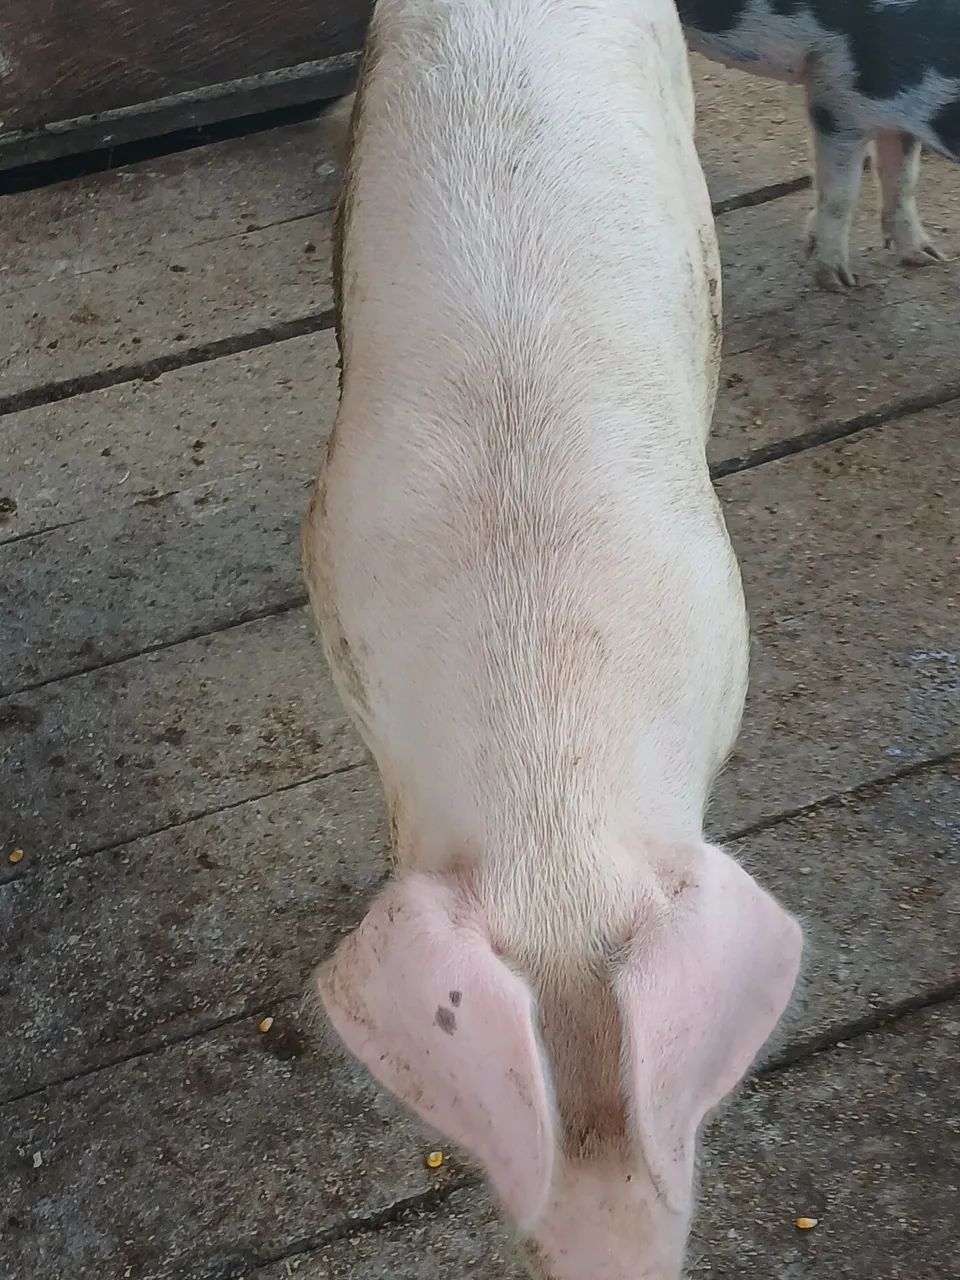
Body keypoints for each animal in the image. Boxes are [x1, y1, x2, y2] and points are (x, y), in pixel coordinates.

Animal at [677, 0, 960, 288]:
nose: (940, 259)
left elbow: (903, 179)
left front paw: (929, 257)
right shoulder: (837, 97)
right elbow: (841, 193)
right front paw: (839, 281)